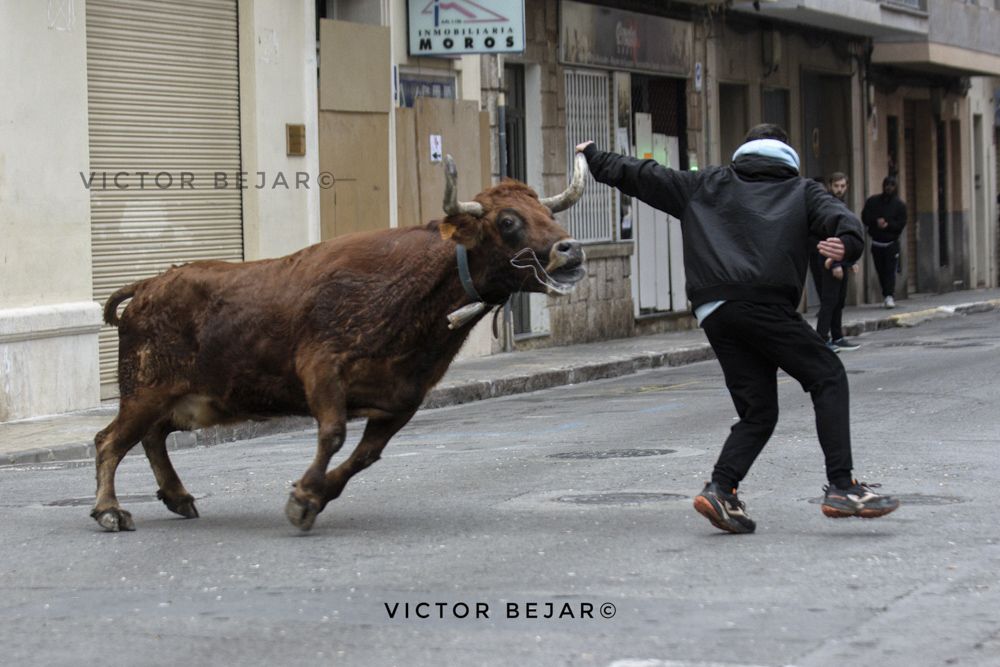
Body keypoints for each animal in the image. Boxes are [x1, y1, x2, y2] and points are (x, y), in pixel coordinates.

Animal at [91, 155, 588, 532]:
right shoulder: (322, 370)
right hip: (145, 390)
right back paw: (110, 511)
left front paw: (315, 496)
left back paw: (177, 497)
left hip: (186, 400)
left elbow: (366, 455)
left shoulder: (402, 397)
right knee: (109, 440)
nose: (571, 249)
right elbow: (332, 435)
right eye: (508, 221)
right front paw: (303, 498)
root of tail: (150, 283)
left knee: (151, 437)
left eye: (550, 215)